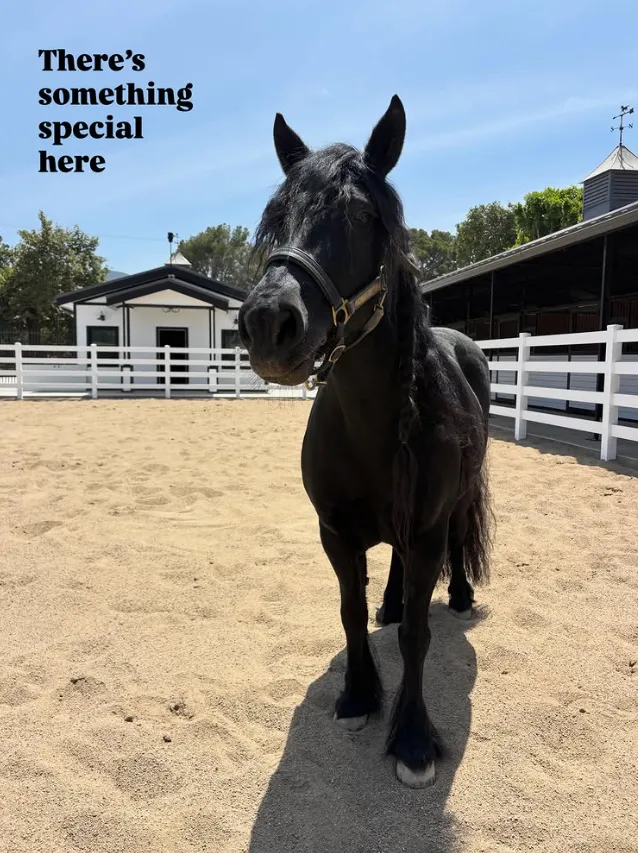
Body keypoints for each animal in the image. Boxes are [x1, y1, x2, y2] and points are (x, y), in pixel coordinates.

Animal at [237, 95, 493, 788]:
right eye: (275, 219)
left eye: (358, 215)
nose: (268, 322)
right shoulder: (334, 530)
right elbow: (350, 611)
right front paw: (357, 696)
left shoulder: (427, 528)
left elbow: (418, 641)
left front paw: (412, 739)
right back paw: (393, 603)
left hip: (454, 506)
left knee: (456, 544)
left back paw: (458, 597)